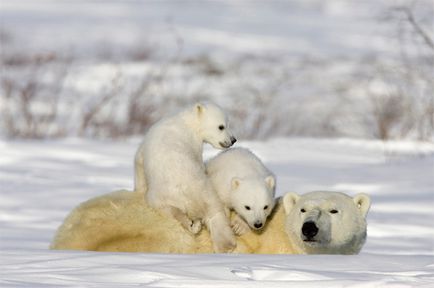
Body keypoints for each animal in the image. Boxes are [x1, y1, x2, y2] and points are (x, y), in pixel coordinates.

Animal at [135, 102, 237, 252]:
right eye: (221, 126)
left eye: (227, 124)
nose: (233, 140)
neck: (186, 122)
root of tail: (189, 196)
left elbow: (139, 163)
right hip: (195, 194)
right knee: (212, 213)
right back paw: (220, 241)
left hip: (164, 194)